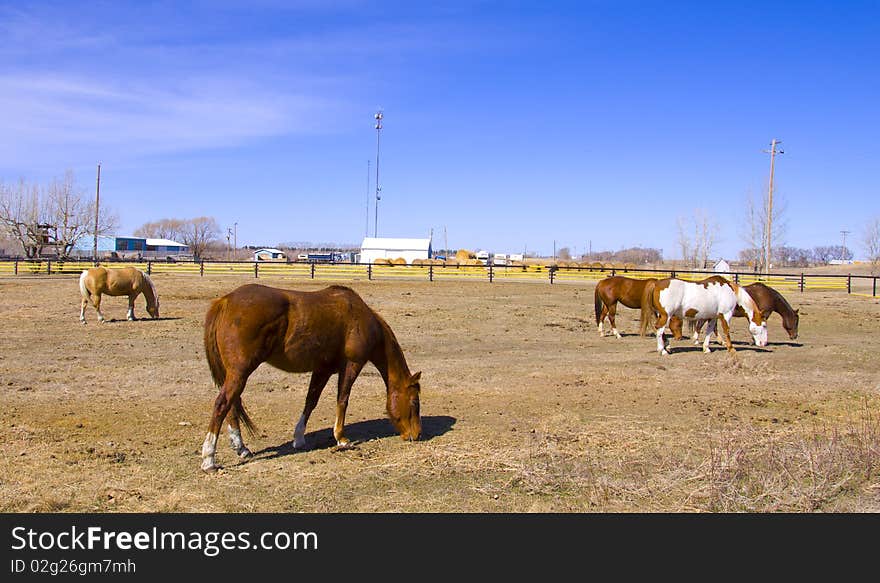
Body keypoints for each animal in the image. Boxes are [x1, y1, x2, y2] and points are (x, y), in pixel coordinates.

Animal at [201, 284, 422, 474]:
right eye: (414, 402)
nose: (416, 435)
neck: (362, 319)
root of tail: (226, 300)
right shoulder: (352, 365)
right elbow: (343, 399)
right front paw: (341, 438)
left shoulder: (322, 370)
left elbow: (310, 402)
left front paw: (299, 438)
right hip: (240, 373)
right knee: (222, 404)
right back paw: (209, 459)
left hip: (234, 374)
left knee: (231, 406)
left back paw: (241, 448)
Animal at [640, 278, 768, 356]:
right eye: (764, 325)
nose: (764, 343)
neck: (730, 292)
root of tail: (657, 283)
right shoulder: (726, 315)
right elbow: (726, 331)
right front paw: (731, 348)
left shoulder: (713, 317)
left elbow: (709, 331)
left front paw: (706, 348)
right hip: (666, 315)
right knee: (659, 330)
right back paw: (662, 351)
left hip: (660, 315)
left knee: (660, 330)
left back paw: (667, 347)